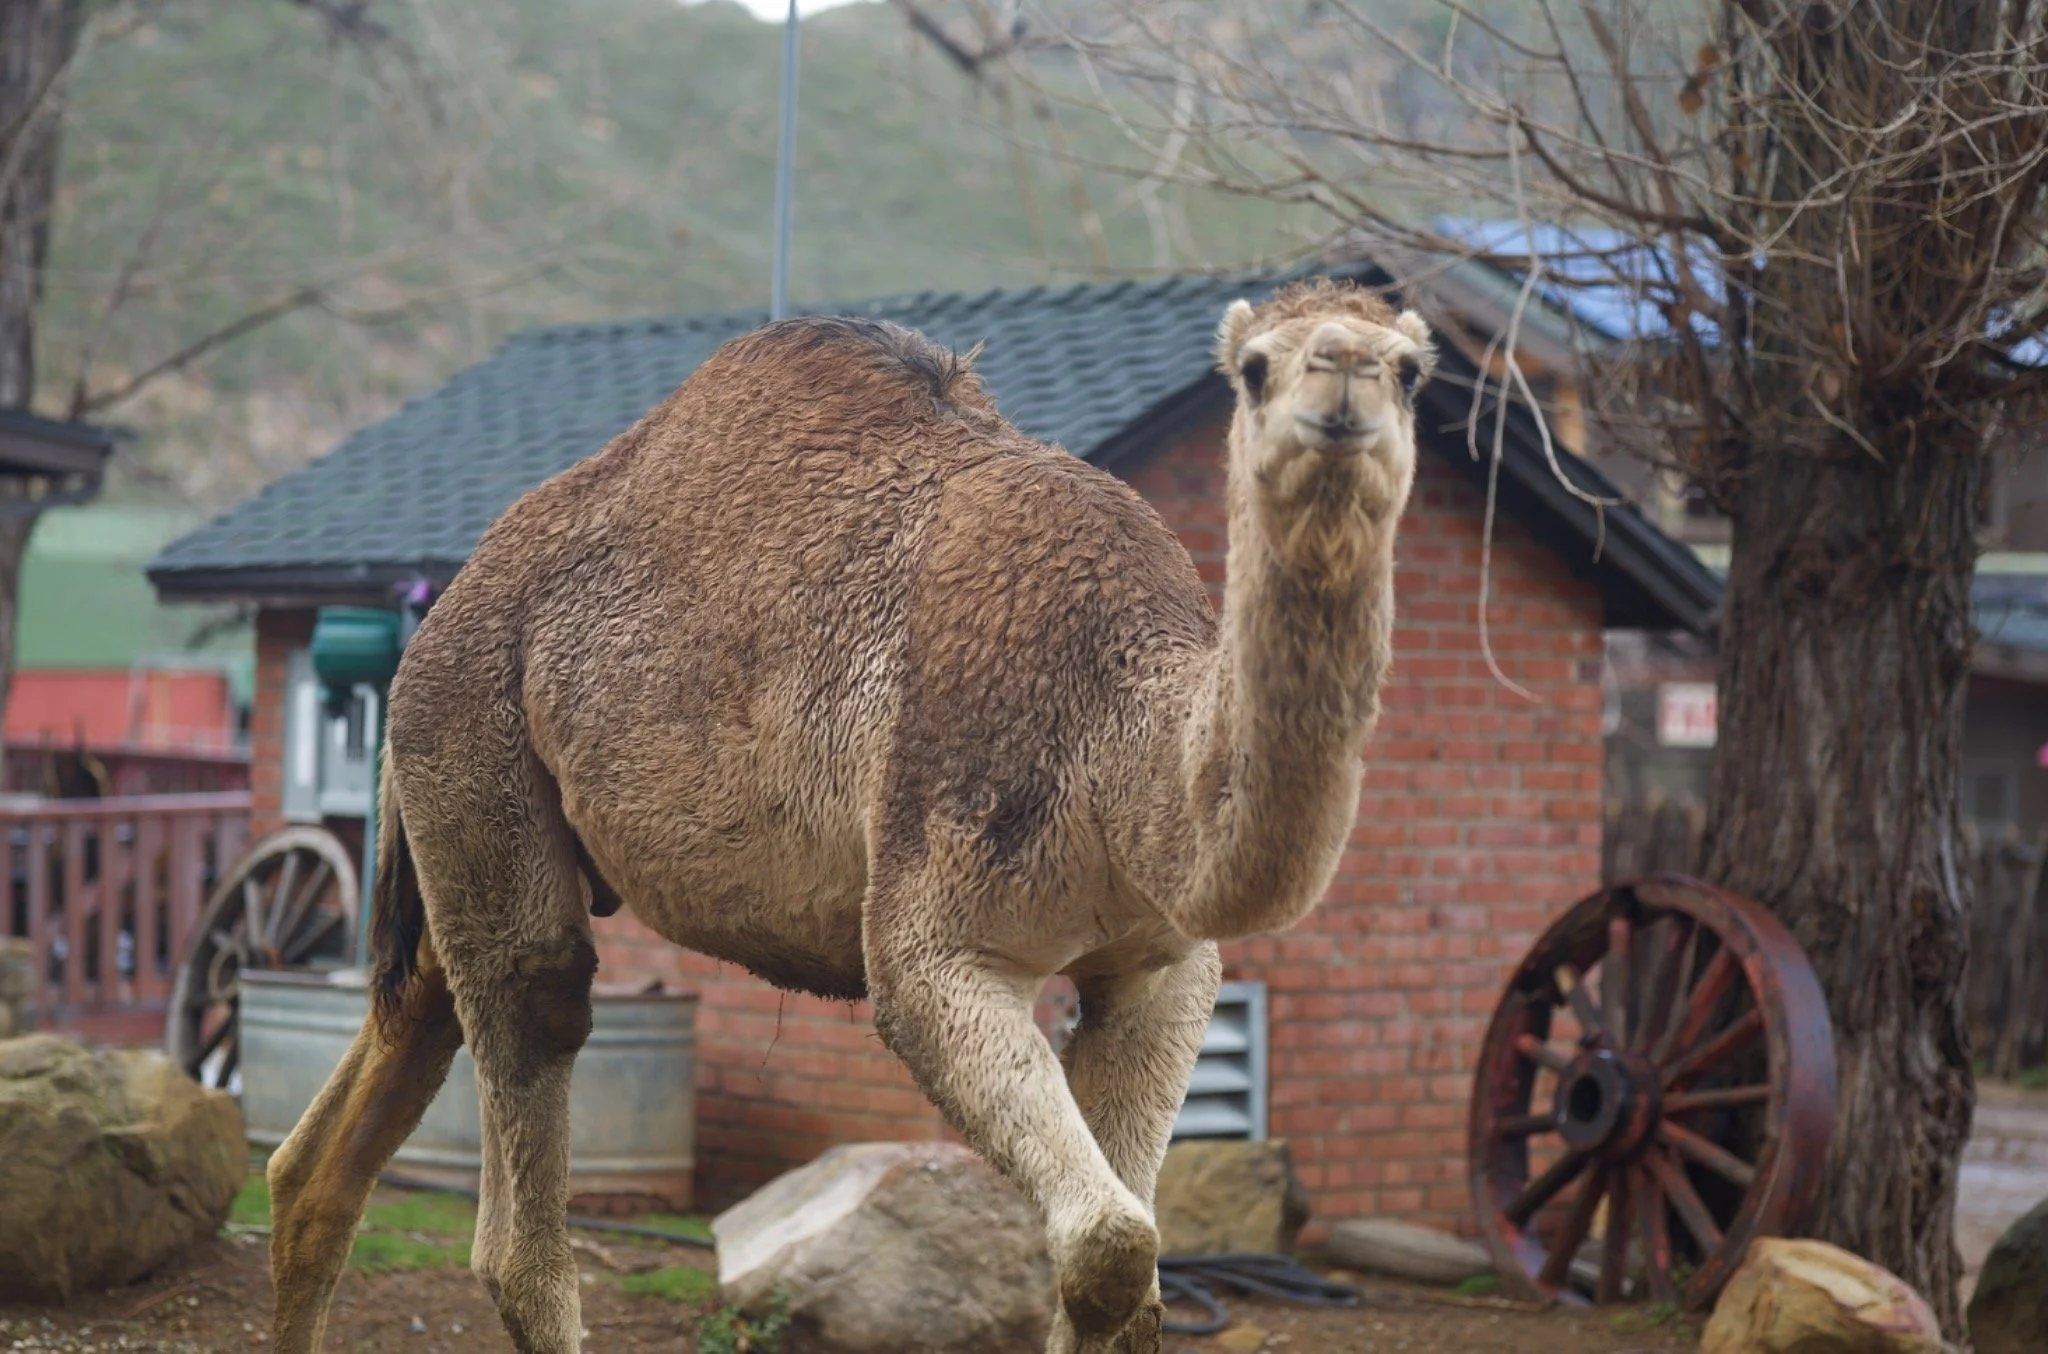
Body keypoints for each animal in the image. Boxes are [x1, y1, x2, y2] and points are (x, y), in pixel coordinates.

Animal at [263, 278, 1433, 1354]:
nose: (1342, 378)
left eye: (1412, 369)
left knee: (346, 1117)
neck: (1122, 742)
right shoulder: (931, 938)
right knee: (528, 1080)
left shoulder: (1158, 969)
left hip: (446, 841)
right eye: (1254, 367)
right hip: (476, 747)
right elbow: (1108, 1244)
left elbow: (1122, 1268)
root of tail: (439, 612)